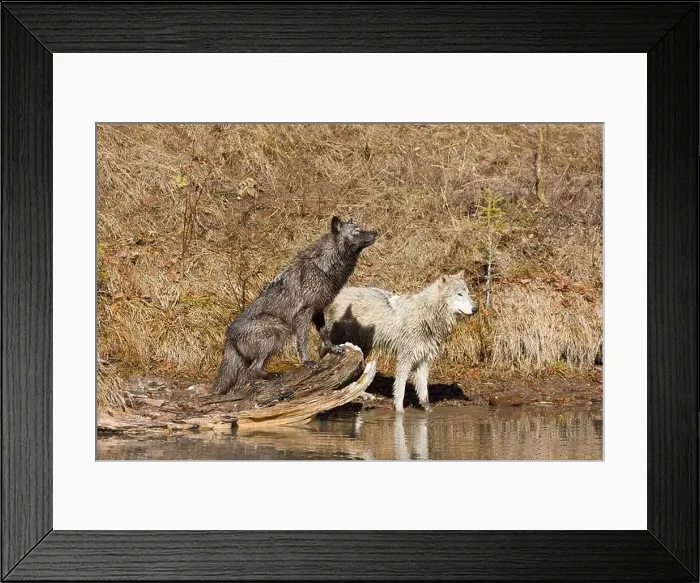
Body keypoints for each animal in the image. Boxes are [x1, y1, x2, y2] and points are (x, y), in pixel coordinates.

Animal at [212, 216, 377, 395]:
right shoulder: (304, 313)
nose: (375, 232)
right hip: (276, 334)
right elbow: (303, 341)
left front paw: (333, 349)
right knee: (253, 369)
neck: (325, 266)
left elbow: (324, 334)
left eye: (361, 228)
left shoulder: (318, 311)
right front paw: (306, 362)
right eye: (357, 231)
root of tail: (229, 336)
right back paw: (273, 376)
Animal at [323, 272, 478, 412]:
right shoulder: (405, 357)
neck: (427, 315)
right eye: (459, 294)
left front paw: (428, 411)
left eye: (468, 293)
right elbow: (400, 388)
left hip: (362, 349)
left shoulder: (423, 360)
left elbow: (424, 393)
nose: (475, 309)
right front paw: (399, 411)